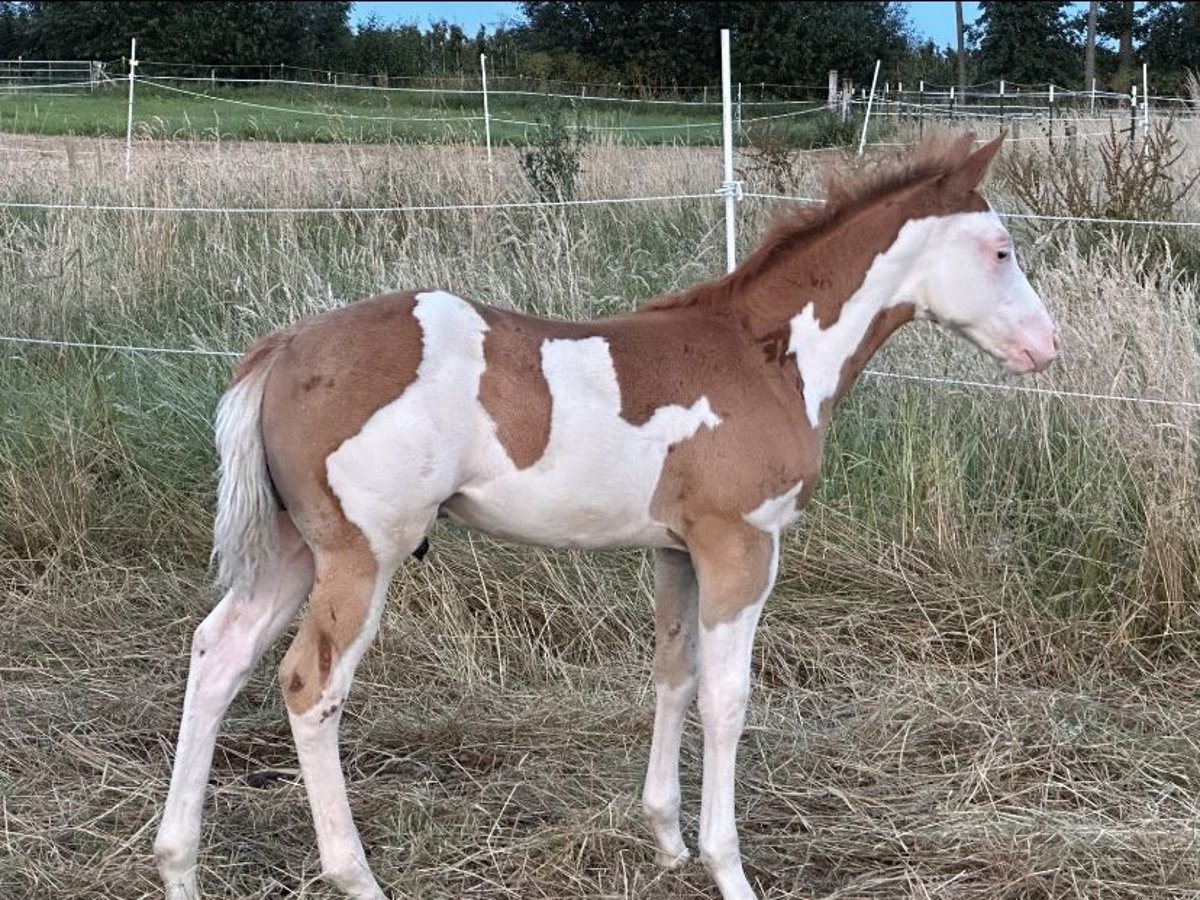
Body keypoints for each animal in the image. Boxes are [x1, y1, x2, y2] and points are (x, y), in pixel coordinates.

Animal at [152, 135, 1060, 900]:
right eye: (1002, 250)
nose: (1047, 347)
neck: (767, 354)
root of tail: (285, 349)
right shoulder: (742, 545)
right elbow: (728, 698)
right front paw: (728, 869)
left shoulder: (678, 551)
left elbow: (674, 675)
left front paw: (667, 841)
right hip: (362, 553)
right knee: (311, 687)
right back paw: (355, 877)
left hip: (293, 547)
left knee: (218, 653)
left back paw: (178, 865)